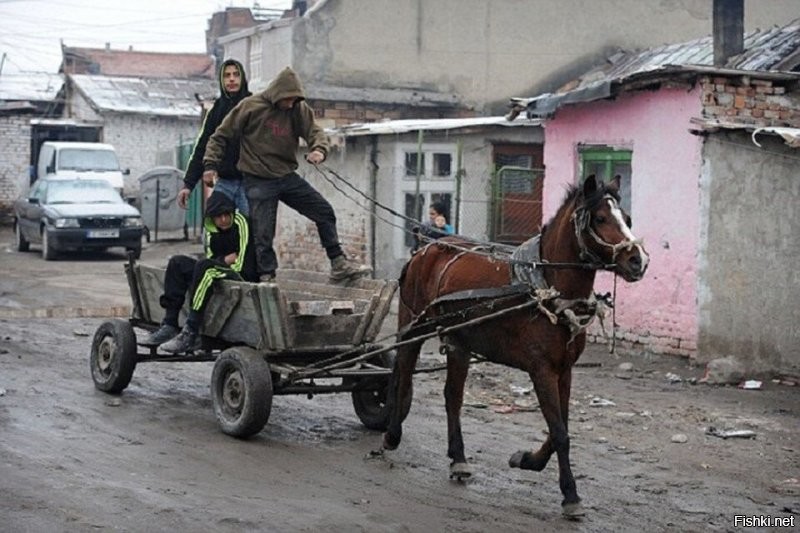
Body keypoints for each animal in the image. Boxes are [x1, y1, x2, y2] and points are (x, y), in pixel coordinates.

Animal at [382, 175, 648, 516]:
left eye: (627, 218)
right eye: (600, 218)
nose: (638, 260)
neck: (546, 287)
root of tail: (425, 248)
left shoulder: (564, 370)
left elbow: (560, 427)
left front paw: (527, 460)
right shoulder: (541, 370)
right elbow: (559, 432)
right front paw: (570, 495)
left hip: (458, 342)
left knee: (452, 397)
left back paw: (458, 458)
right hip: (413, 324)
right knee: (403, 370)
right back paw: (391, 434)